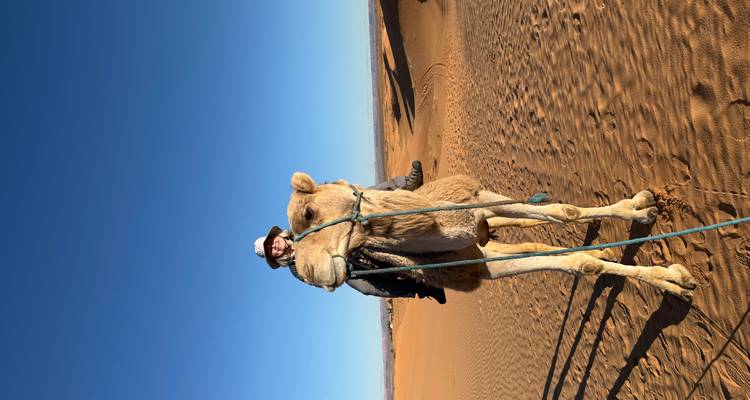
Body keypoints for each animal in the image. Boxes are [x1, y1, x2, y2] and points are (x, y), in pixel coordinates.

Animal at [286, 172, 697, 300]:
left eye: (308, 213)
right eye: (290, 249)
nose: (313, 273)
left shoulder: (480, 203)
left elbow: (565, 212)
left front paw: (642, 208)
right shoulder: (480, 264)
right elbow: (578, 264)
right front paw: (674, 281)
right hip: (486, 243)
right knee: (533, 244)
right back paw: (607, 254)